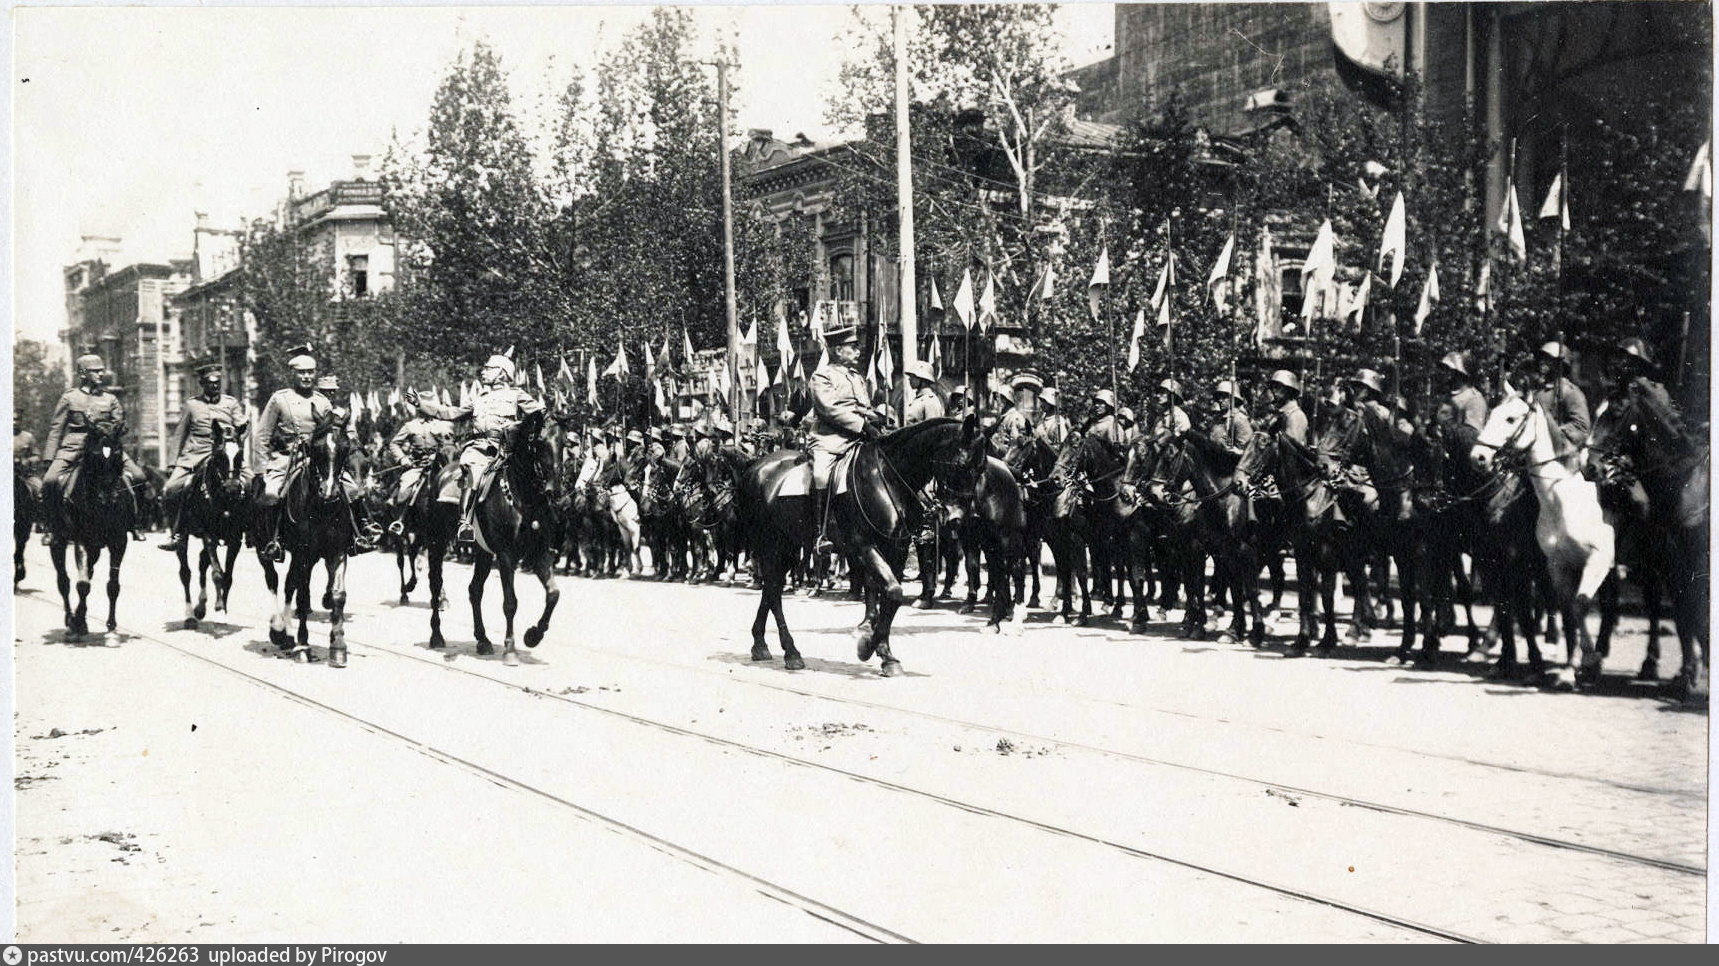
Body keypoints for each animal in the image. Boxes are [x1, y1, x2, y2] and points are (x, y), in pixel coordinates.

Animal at [49, 421, 136, 639]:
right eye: (95, 455)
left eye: (118, 453)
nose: (110, 497)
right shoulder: (81, 540)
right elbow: (82, 585)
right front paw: (77, 623)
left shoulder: (119, 542)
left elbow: (112, 585)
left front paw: (111, 626)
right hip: (58, 541)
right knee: (64, 581)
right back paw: (71, 620)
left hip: (95, 548)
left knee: (88, 571)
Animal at [1478, 391, 1608, 684]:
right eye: (1491, 413)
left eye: (1511, 418)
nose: (1478, 456)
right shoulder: (1536, 565)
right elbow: (1562, 609)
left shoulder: (1593, 559)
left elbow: (1572, 606)